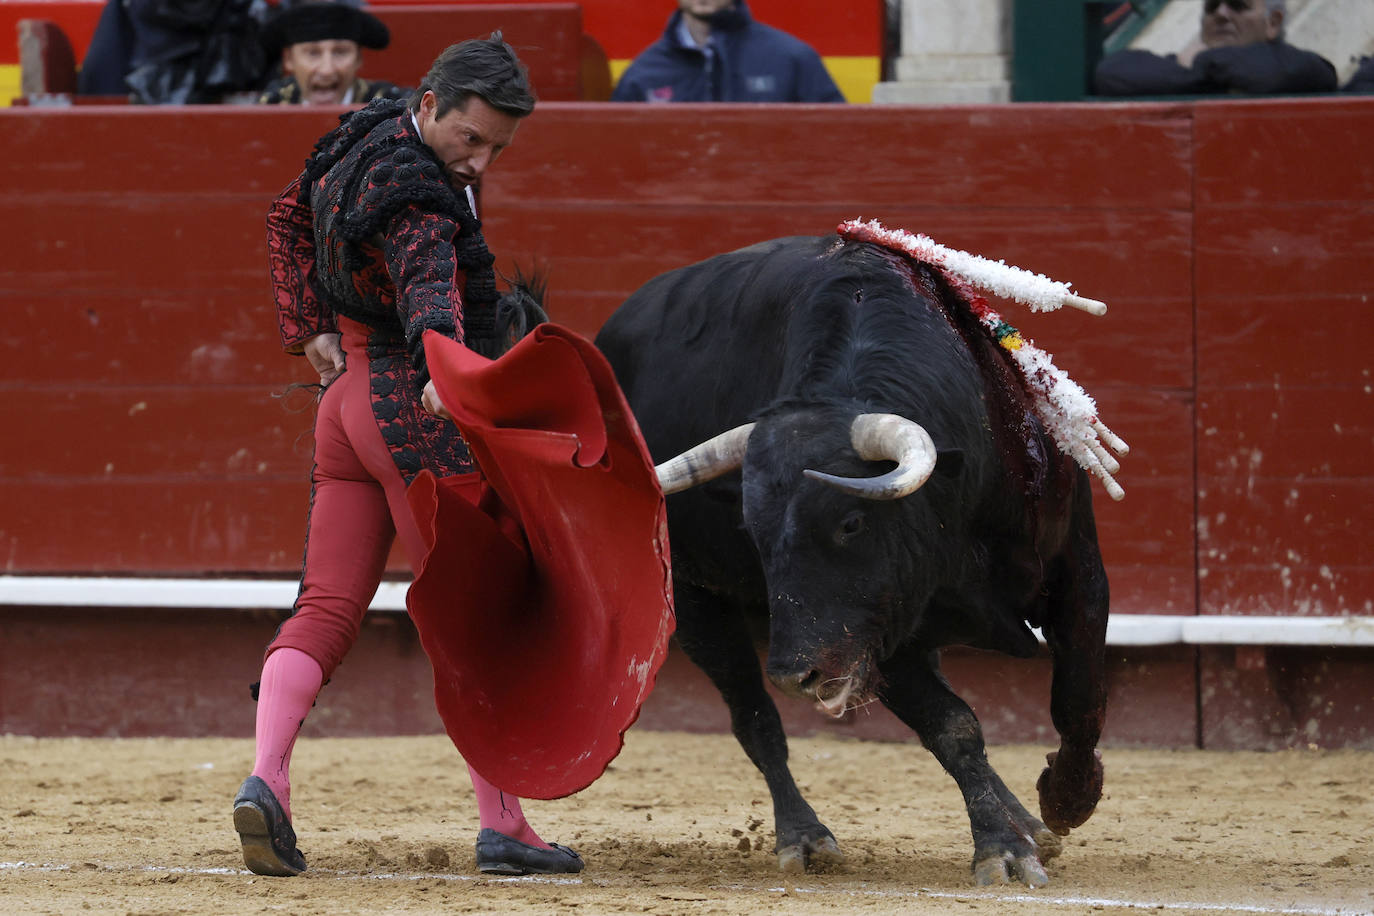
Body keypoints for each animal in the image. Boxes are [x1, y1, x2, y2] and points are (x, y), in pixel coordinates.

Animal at [596, 236, 1110, 889]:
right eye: (754, 535)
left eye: (850, 522)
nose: (796, 674)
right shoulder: (881, 635)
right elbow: (954, 727)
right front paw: (1001, 849)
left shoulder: (1077, 566)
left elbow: (1078, 690)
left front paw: (1066, 800)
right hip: (696, 605)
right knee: (755, 719)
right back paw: (805, 836)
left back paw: (1034, 823)